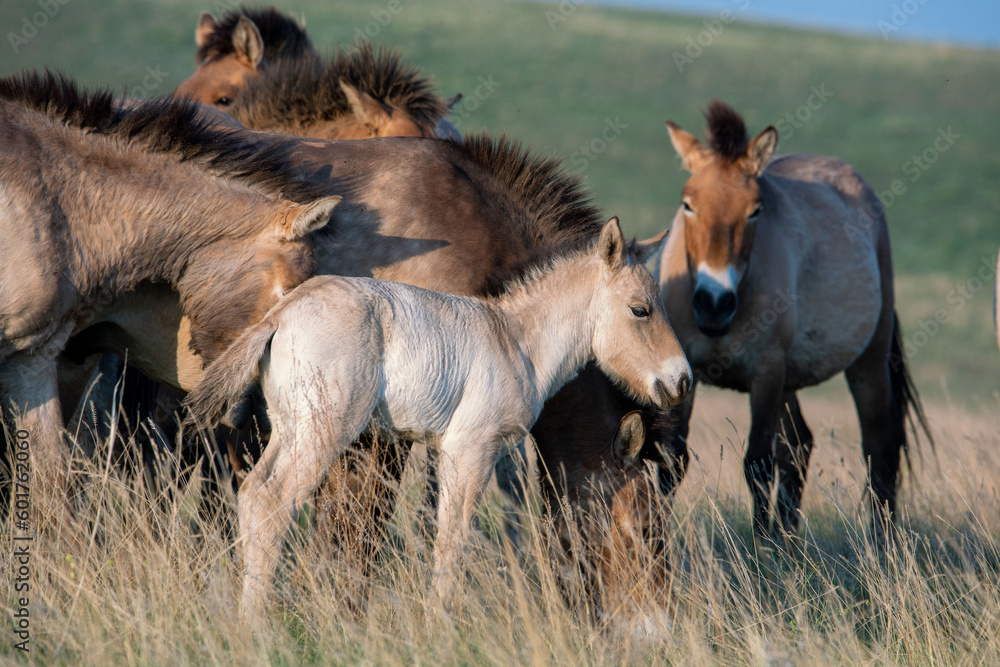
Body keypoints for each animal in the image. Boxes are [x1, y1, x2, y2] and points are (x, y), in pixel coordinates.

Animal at [183, 218, 691, 623]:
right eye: (640, 309)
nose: (681, 380)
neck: (517, 341)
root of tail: (281, 313)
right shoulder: (470, 451)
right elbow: (453, 539)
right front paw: (440, 625)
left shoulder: (464, 454)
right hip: (323, 431)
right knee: (273, 502)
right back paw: (255, 626)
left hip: (291, 428)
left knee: (252, 495)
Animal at [655, 100, 931, 539]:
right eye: (688, 204)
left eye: (755, 211)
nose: (714, 302)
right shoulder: (684, 375)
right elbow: (671, 463)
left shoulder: (766, 374)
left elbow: (757, 464)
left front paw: (761, 548)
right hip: (790, 380)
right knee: (800, 448)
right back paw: (790, 540)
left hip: (866, 363)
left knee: (879, 446)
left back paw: (879, 541)